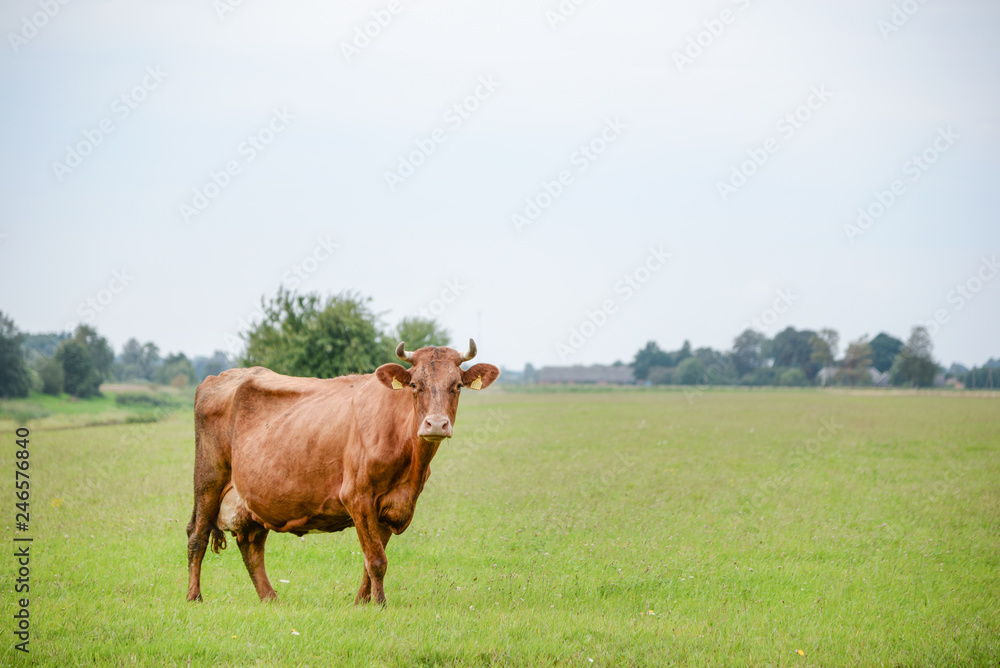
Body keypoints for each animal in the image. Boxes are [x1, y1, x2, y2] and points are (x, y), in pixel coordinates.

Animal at [186, 340, 498, 604]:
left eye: (457, 385)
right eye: (414, 384)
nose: (436, 424)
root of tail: (222, 377)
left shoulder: (390, 506)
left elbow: (370, 559)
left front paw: (362, 602)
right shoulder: (358, 496)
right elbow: (377, 560)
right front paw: (380, 604)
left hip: (255, 499)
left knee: (251, 546)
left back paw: (270, 598)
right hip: (208, 479)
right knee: (197, 535)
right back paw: (194, 597)